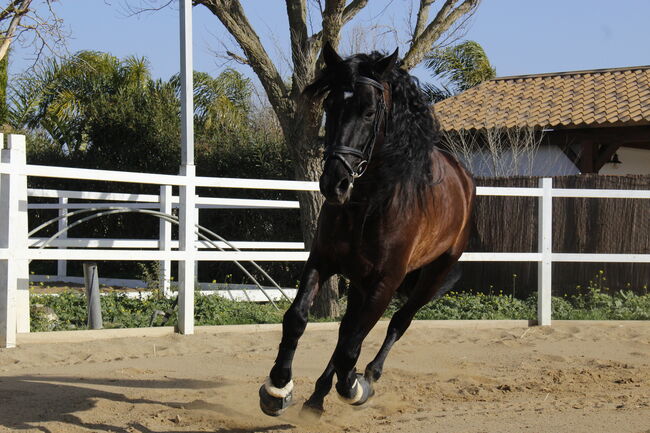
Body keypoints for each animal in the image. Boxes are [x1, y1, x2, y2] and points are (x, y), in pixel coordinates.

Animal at [260, 43, 476, 416]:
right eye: (330, 106)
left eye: (369, 112)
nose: (334, 183)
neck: (369, 202)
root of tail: (463, 179)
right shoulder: (323, 260)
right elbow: (298, 318)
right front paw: (277, 387)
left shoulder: (385, 282)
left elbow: (352, 346)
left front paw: (355, 387)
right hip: (360, 281)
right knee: (347, 329)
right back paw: (317, 397)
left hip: (432, 275)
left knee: (397, 322)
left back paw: (368, 375)